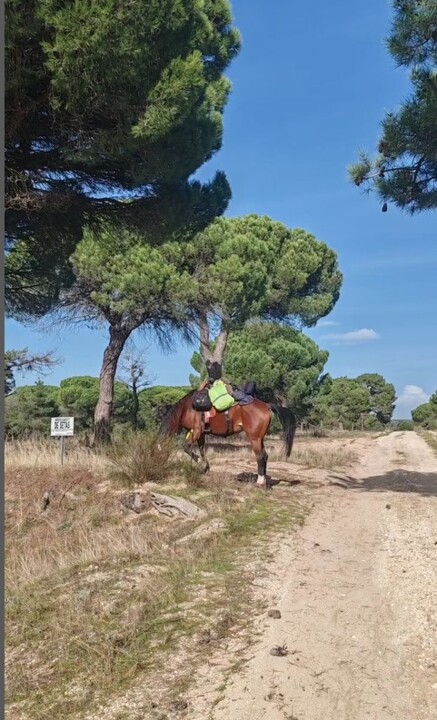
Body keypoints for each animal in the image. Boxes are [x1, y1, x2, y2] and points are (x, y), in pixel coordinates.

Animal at [158, 390, 294, 486]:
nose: (159, 464)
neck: (188, 408)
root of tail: (266, 405)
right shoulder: (200, 434)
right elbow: (202, 450)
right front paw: (205, 467)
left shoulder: (196, 431)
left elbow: (186, 447)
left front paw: (201, 465)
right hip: (259, 439)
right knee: (265, 456)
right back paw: (263, 480)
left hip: (254, 438)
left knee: (260, 456)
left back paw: (259, 482)